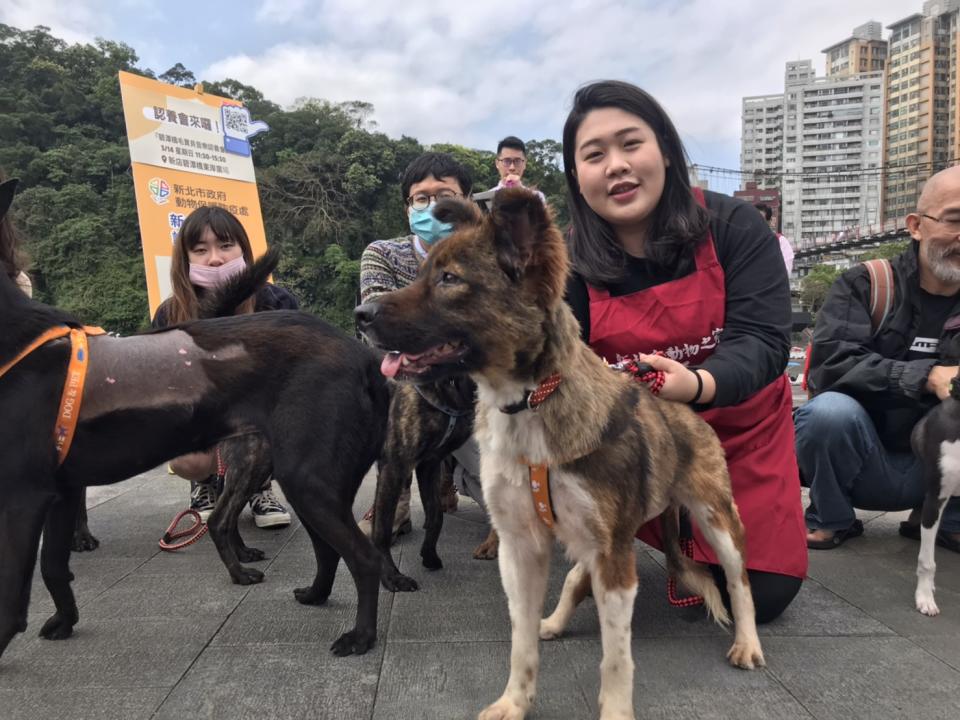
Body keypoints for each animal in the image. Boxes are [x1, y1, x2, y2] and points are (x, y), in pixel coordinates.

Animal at [0, 181, 390, 664]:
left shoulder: (24, 498)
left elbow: (11, 598)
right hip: (305, 480)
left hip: (307, 480)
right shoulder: (61, 491)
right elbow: (53, 566)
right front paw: (64, 621)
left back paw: (361, 636)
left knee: (363, 557)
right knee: (325, 548)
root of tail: (362, 356)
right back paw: (315, 594)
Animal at [354, 188, 764, 716]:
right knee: (576, 579)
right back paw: (555, 620)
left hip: (717, 521)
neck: (530, 401)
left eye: (449, 279)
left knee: (739, 581)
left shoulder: (615, 556)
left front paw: (615, 710)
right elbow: (521, 639)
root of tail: (685, 412)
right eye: (425, 272)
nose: (361, 316)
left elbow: (616, 658)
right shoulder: (522, 547)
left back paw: (748, 642)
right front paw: (515, 701)